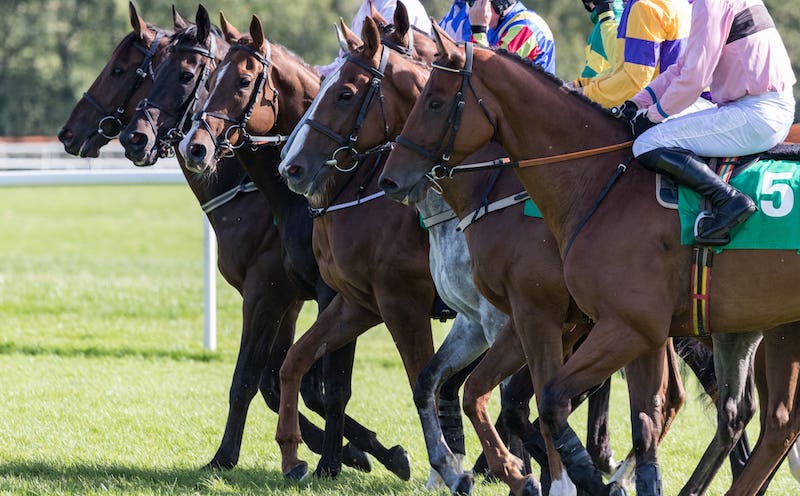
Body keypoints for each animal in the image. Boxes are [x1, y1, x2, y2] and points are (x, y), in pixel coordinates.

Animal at [177, 14, 438, 480]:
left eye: (243, 81)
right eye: (212, 77)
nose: (195, 146)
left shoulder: (305, 292)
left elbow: (326, 385)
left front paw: (335, 461)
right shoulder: (288, 294)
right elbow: (271, 376)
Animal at [378, 23, 800, 496]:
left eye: (434, 101)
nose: (389, 179)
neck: (599, 183)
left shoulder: (589, 322)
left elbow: (546, 398)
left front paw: (563, 476)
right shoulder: (613, 327)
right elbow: (493, 394)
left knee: (771, 421)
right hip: (757, 329)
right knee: (758, 418)